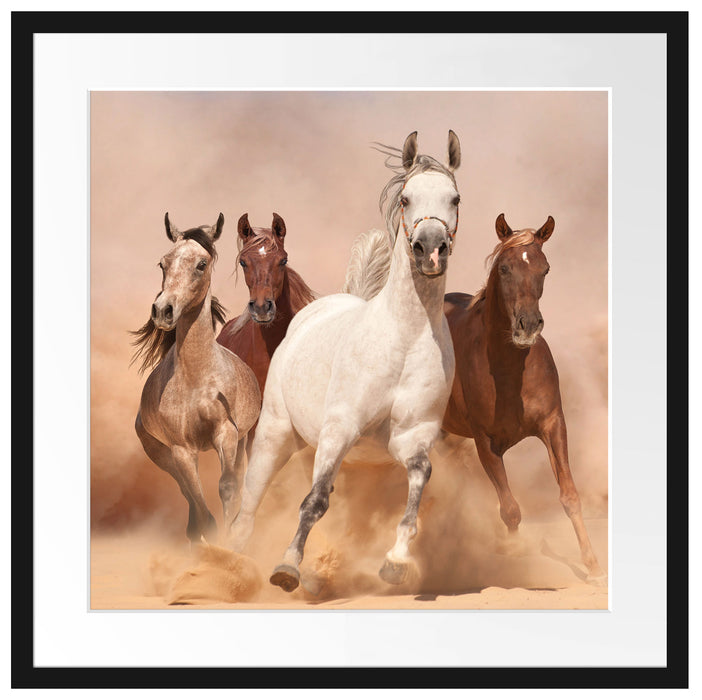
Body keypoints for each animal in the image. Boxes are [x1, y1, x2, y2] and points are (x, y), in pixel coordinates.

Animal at [130, 213, 261, 545]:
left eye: (201, 264)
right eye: (163, 263)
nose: (163, 310)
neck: (197, 381)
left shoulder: (226, 434)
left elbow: (228, 486)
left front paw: (232, 540)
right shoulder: (180, 449)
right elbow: (200, 504)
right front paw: (211, 542)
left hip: (241, 441)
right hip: (160, 453)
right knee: (186, 492)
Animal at [228, 130, 462, 592]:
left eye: (455, 198)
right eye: (406, 198)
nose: (430, 249)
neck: (404, 338)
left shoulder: (412, 436)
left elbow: (418, 484)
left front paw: (396, 562)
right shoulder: (340, 427)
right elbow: (313, 501)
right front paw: (287, 568)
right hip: (276, 434)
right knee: (249, 504)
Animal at [441, 213, 607, 583]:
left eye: (545, 269)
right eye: (504, 268)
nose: (528, 325)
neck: (509, 370)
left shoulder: (553, 424)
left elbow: (569, 496)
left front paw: (592, 566)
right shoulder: (484, 442)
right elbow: (511, 509)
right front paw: (514, 555)